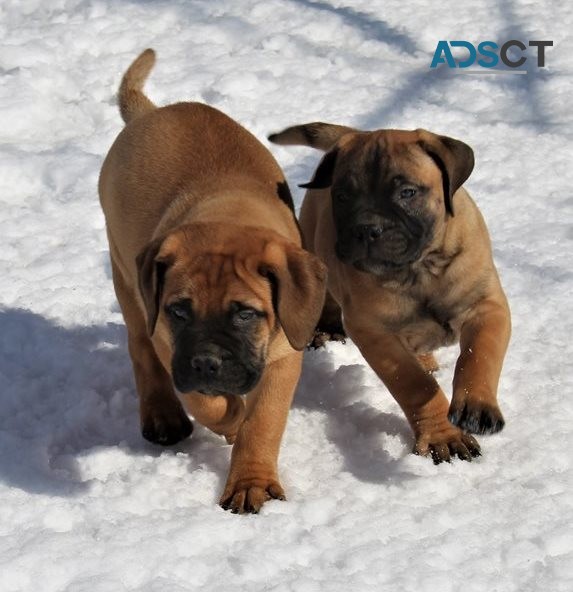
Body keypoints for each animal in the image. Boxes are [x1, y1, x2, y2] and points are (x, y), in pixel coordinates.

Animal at [98, 52, 326, 512]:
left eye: (245, 314)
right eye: (179, 311)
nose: (206, 362)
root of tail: (148, 113)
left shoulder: (283, 355)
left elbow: (264, 421)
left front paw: (251, 481)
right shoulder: (170, 341)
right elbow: (206, 402)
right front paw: (231, 417)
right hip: (125, 274)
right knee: (140, 346)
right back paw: (164, 415)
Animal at [268, 121, 510, 462]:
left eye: (407, 192)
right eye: (342, 195)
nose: (367, 229)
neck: (420, 269)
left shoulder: (486, 306)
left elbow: (480, 354)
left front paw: (475, 406)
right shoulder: (374, 331)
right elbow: (414, 385)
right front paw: (443, 435)